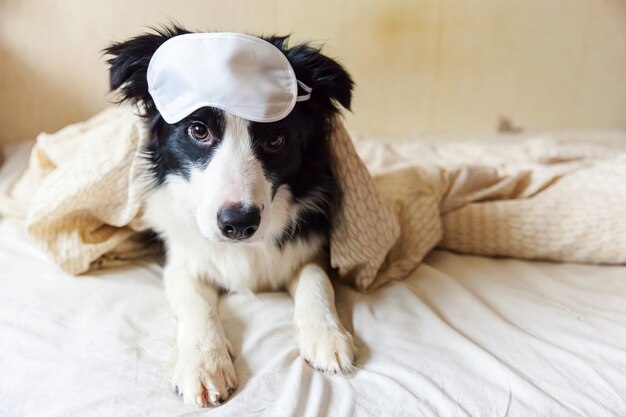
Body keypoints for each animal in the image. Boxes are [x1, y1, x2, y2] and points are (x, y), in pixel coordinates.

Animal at [105, 26, 354, 406]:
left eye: (276, 139)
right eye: (198, 130)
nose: (238, 224)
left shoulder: (309, 244)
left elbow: (316, 279)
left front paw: (327, 336)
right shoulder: (181, 257)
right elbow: (194, 300)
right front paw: (204, 364)